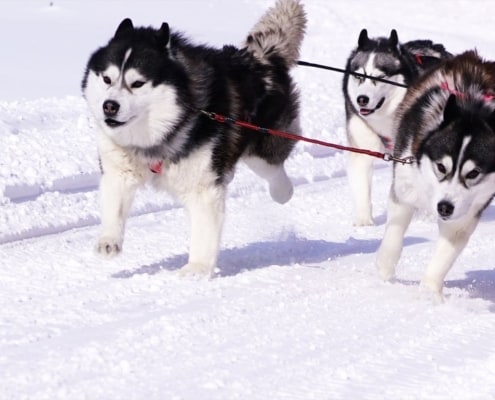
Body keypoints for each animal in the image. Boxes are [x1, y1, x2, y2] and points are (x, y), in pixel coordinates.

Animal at [81, 0, 306, 276]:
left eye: (137, 83)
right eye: (107, 79)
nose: (109, 106)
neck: (161, 133)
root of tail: (260, 57)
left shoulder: (203, 189)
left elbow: (204, 232)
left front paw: (197, 269)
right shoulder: (119, 169)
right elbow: (115, 202)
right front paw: (109, 240)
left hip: (262, 147)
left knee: (273, 168)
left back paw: (283, 191)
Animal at [378, 50, 495, 300]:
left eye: (473, 173)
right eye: (441, 167)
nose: (444, 207)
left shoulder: (465, 213)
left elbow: (444, 254)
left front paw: (429, 293)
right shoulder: (405, 183)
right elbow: (395, 230)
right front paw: (384, 269)